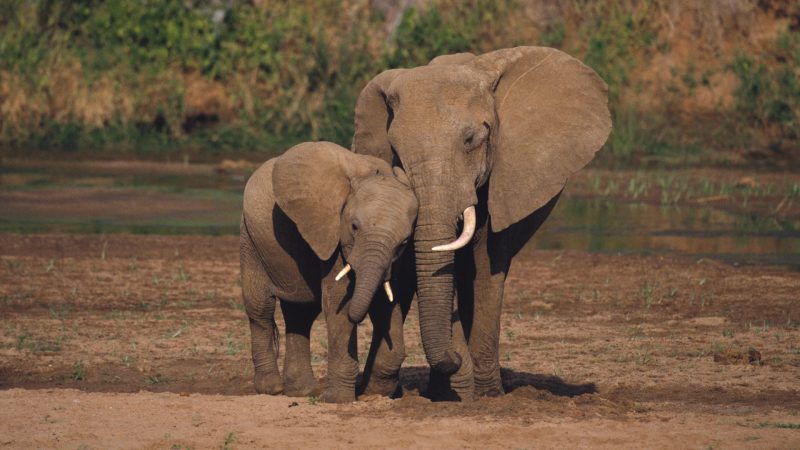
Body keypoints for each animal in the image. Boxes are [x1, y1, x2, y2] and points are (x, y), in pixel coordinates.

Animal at [241, 142, 418, 402]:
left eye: (404, 242)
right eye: (354, 227)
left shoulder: (393, 261)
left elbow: (386, 303)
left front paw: (376, 393)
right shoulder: (332, 236)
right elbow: (337, 304)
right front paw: (338, 400)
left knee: (300, 314)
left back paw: (302, 391)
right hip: (251, 239)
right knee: (260, 308)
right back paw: (272, 389)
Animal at [352, 47, 612, 400]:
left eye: (471, 140)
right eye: (396, 150)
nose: (454, 356)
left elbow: (487, 265)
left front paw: (485, 395)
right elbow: (411, 266)